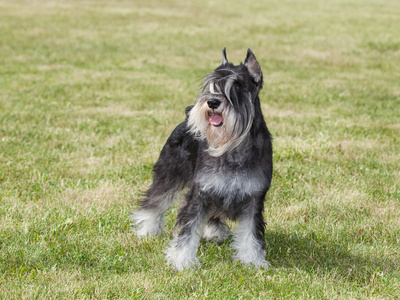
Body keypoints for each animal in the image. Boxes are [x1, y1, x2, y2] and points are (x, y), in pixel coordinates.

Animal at [130, 48, 272, 270]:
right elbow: (188, 229)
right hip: (169, 173)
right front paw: (182, 261)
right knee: (155, 200)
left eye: (238, 85)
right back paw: (147, 230)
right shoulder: (199, 193)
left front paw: (253, 261)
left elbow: (251, 234)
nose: (212, 101)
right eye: (212, 85)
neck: (233, 147)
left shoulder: (254, 198)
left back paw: (214, 232)